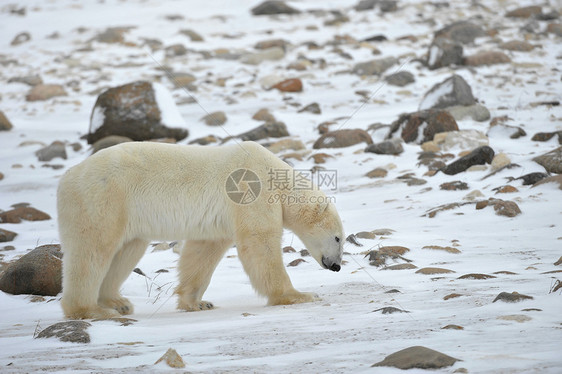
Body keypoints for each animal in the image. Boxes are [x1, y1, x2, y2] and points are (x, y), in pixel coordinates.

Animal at [57, 140, 342, 318]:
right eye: (338, 238)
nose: (337, 266)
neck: (274, 175)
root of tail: (67, 177)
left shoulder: (220, 220)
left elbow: (203, 251)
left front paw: (197, 302)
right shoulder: (250, 192)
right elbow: (260, 243)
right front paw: (300, 295)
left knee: (126, 251)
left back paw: (119, 303)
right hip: (103, 199)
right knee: (93, 251)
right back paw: (91, 310)